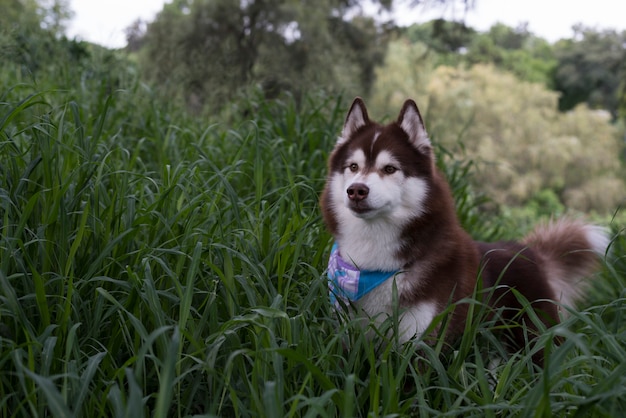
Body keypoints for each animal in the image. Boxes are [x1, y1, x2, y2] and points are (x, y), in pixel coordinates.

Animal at [320, 98, 608, 360]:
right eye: (353, 167)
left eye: (390, 169)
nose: (356, 190)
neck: (374, 264)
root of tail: (530, 251)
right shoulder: (348, 334)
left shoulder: (421, 343)